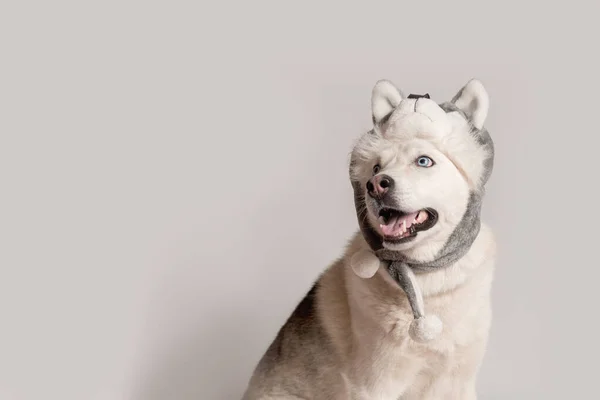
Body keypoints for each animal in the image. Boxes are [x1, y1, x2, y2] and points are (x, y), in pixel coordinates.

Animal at [241, 79, 494, 400]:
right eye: (375, 168)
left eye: (423, 161)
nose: (376, 185)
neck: (426, 281)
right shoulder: (373, 385)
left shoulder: (457, 382)